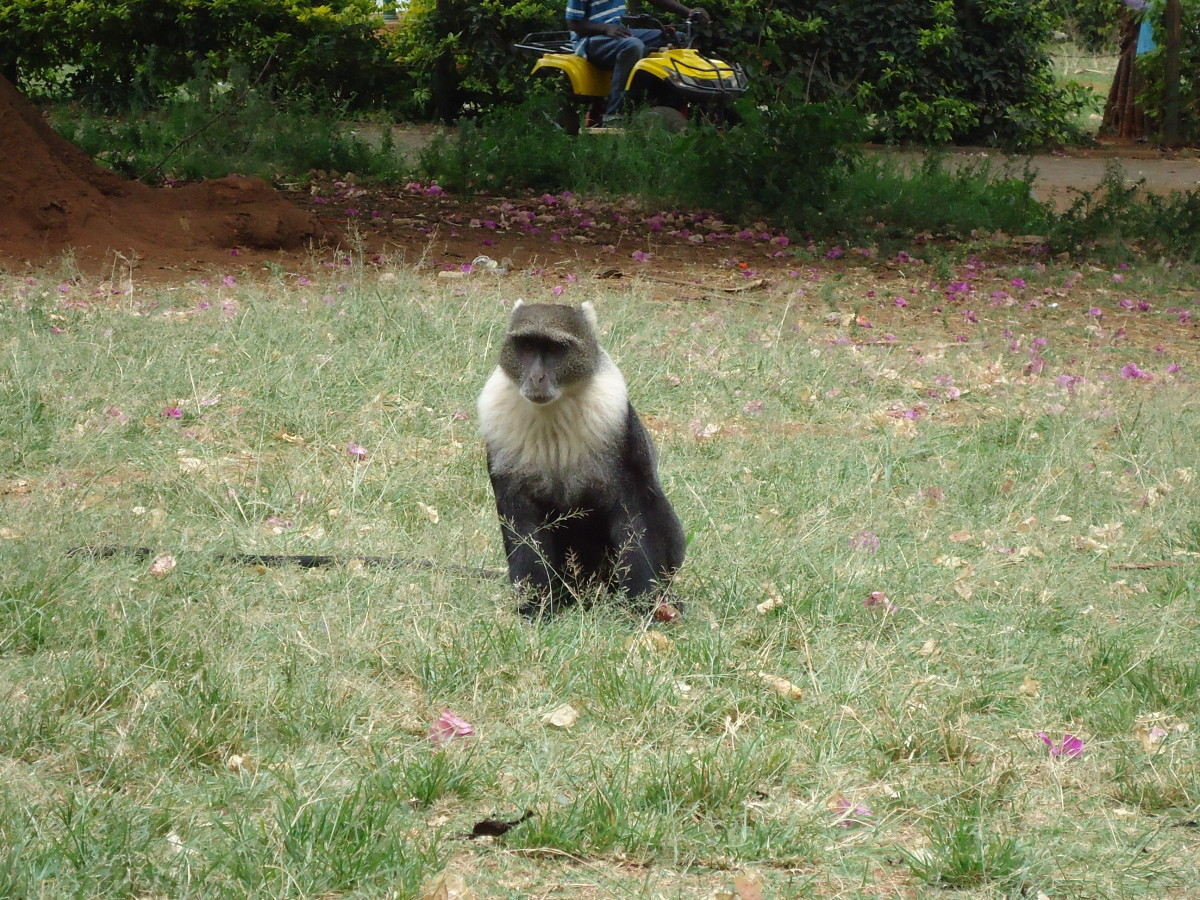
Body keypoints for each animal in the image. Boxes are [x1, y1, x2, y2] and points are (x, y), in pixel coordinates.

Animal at [477, 303, 686, 619]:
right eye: (527, 346)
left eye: (554, 349)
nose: (536, 377)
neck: (552, 411)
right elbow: (521, 522)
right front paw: (535, 608)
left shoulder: (617, 423)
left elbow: (633, 513)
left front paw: (643, 608)